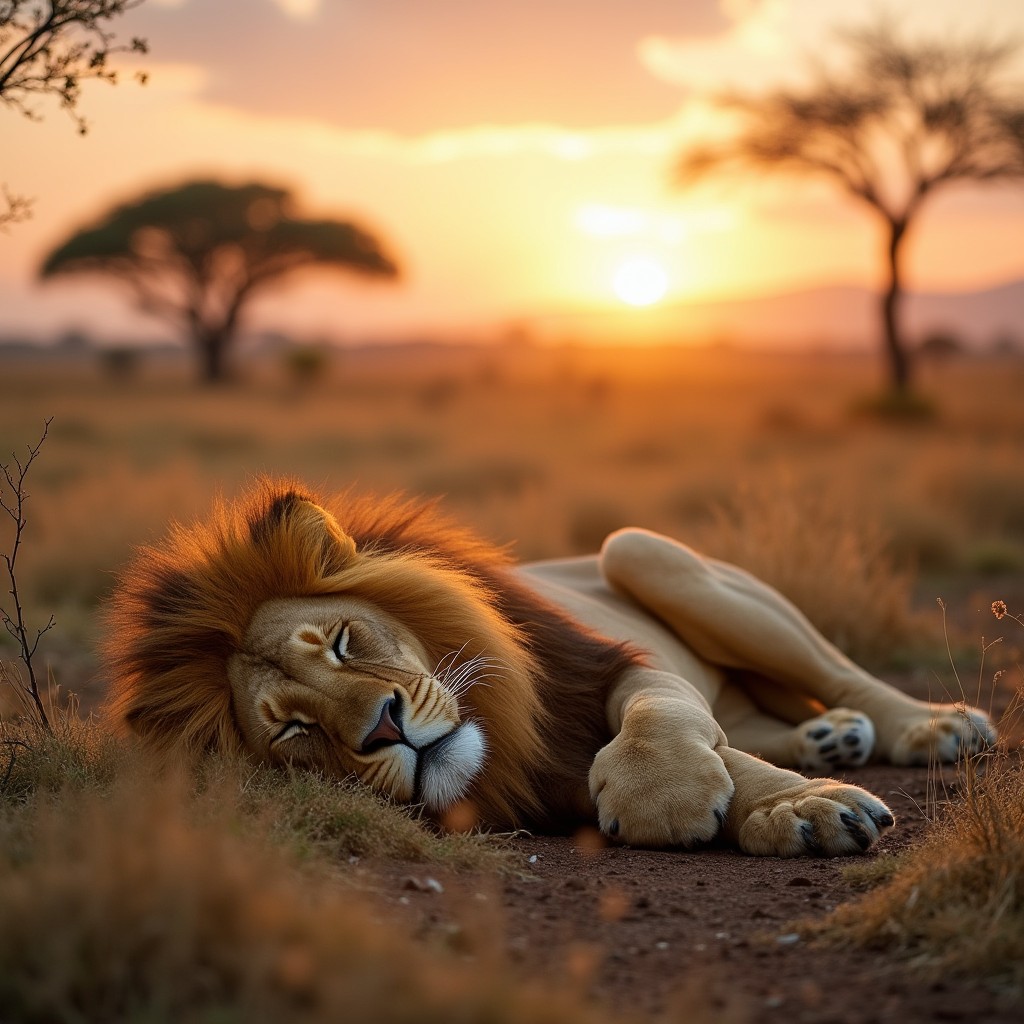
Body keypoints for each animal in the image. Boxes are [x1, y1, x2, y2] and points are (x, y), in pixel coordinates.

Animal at [105, 482, 996, 857]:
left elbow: (664, 717)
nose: (385, 729)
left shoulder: (606, 669)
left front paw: (784, 806)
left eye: (342, 643)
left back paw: (933, 729)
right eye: (293, 731)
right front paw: (794, 805)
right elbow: (722, 746)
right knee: (757, 714)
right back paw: (830, 739)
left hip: (638, 549)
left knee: (840, 677)